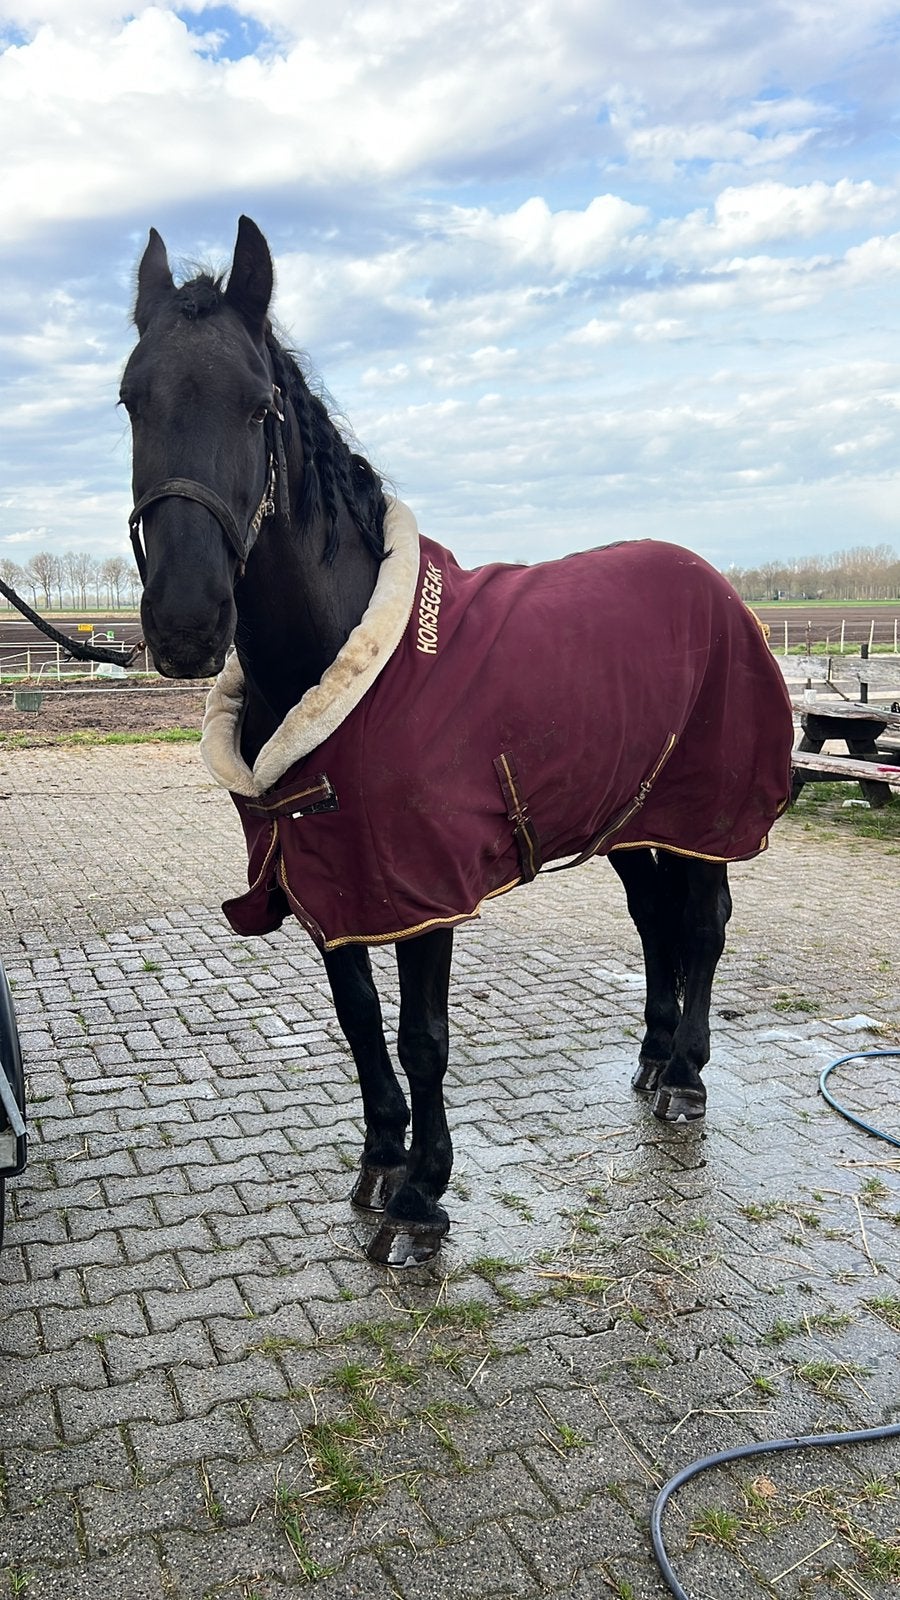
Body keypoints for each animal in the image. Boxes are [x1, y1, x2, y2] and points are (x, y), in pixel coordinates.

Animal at [121, 216, 794, 1267]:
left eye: (257, 405)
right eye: (129, 399)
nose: (187, 623)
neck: (347, 657)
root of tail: (716, 585)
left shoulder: (418, 888)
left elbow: (422, 1035)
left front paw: (420, 1199)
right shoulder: (332, 876)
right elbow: (359, 1020)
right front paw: (380, 1158)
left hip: (703, 812)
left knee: (705, 924)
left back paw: (685, 1074)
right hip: (631, 818)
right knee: (655, 923)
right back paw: (649, 1060)